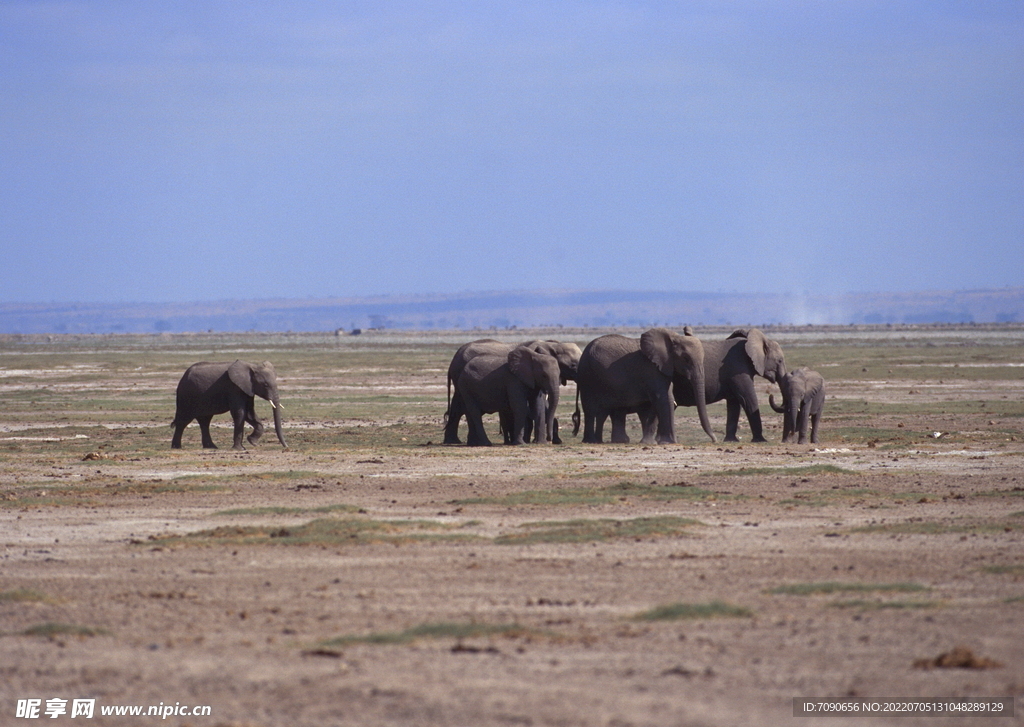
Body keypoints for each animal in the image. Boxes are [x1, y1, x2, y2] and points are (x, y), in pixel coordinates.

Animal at [442, 339, 585, 444]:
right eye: (573, 365)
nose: (550, 439)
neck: (553, 345)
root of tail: (454, 359)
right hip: (460, 376)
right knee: (463, 407)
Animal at [573, 329, 716, 444]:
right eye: (686, 358)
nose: (714, 440)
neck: (673, 337)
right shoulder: (652, 369)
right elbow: (663, 398)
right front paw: (670, 442)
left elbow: (656, 403)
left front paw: (649, 442)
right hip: (587, 376)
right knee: (591, 409)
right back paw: (590, 441)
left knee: (608, 410)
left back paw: (608, 441)